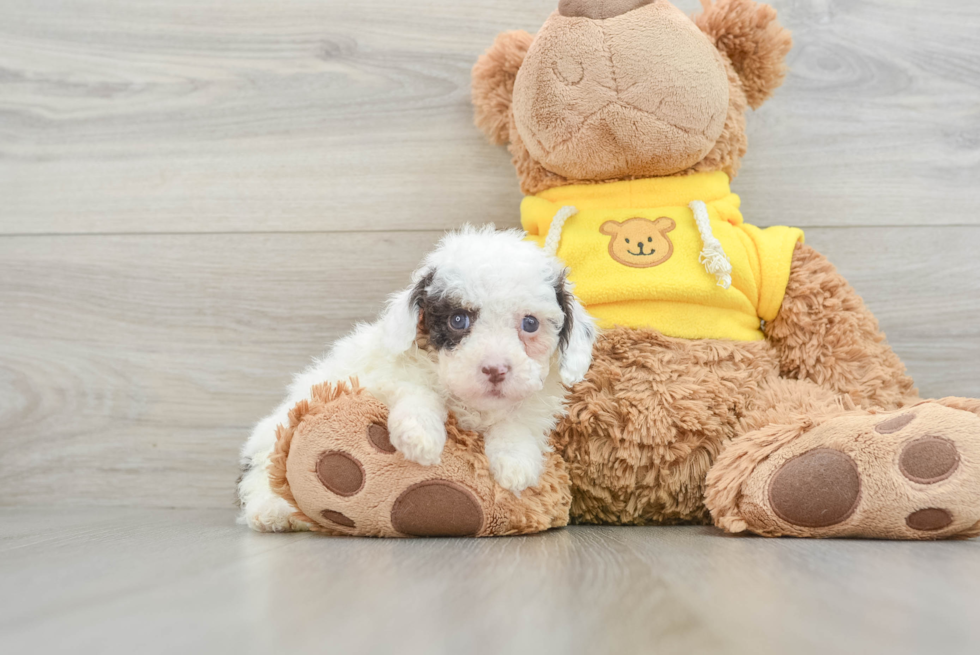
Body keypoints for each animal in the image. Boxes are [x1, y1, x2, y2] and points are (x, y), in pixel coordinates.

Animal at [241, 226, 600, 532]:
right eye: (458, 320)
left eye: (529, 324)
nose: (496, 369)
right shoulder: (377, 376)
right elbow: (416, 389)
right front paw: (421, 436)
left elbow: (517, 422)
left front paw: (516, 465)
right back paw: (274, 512)